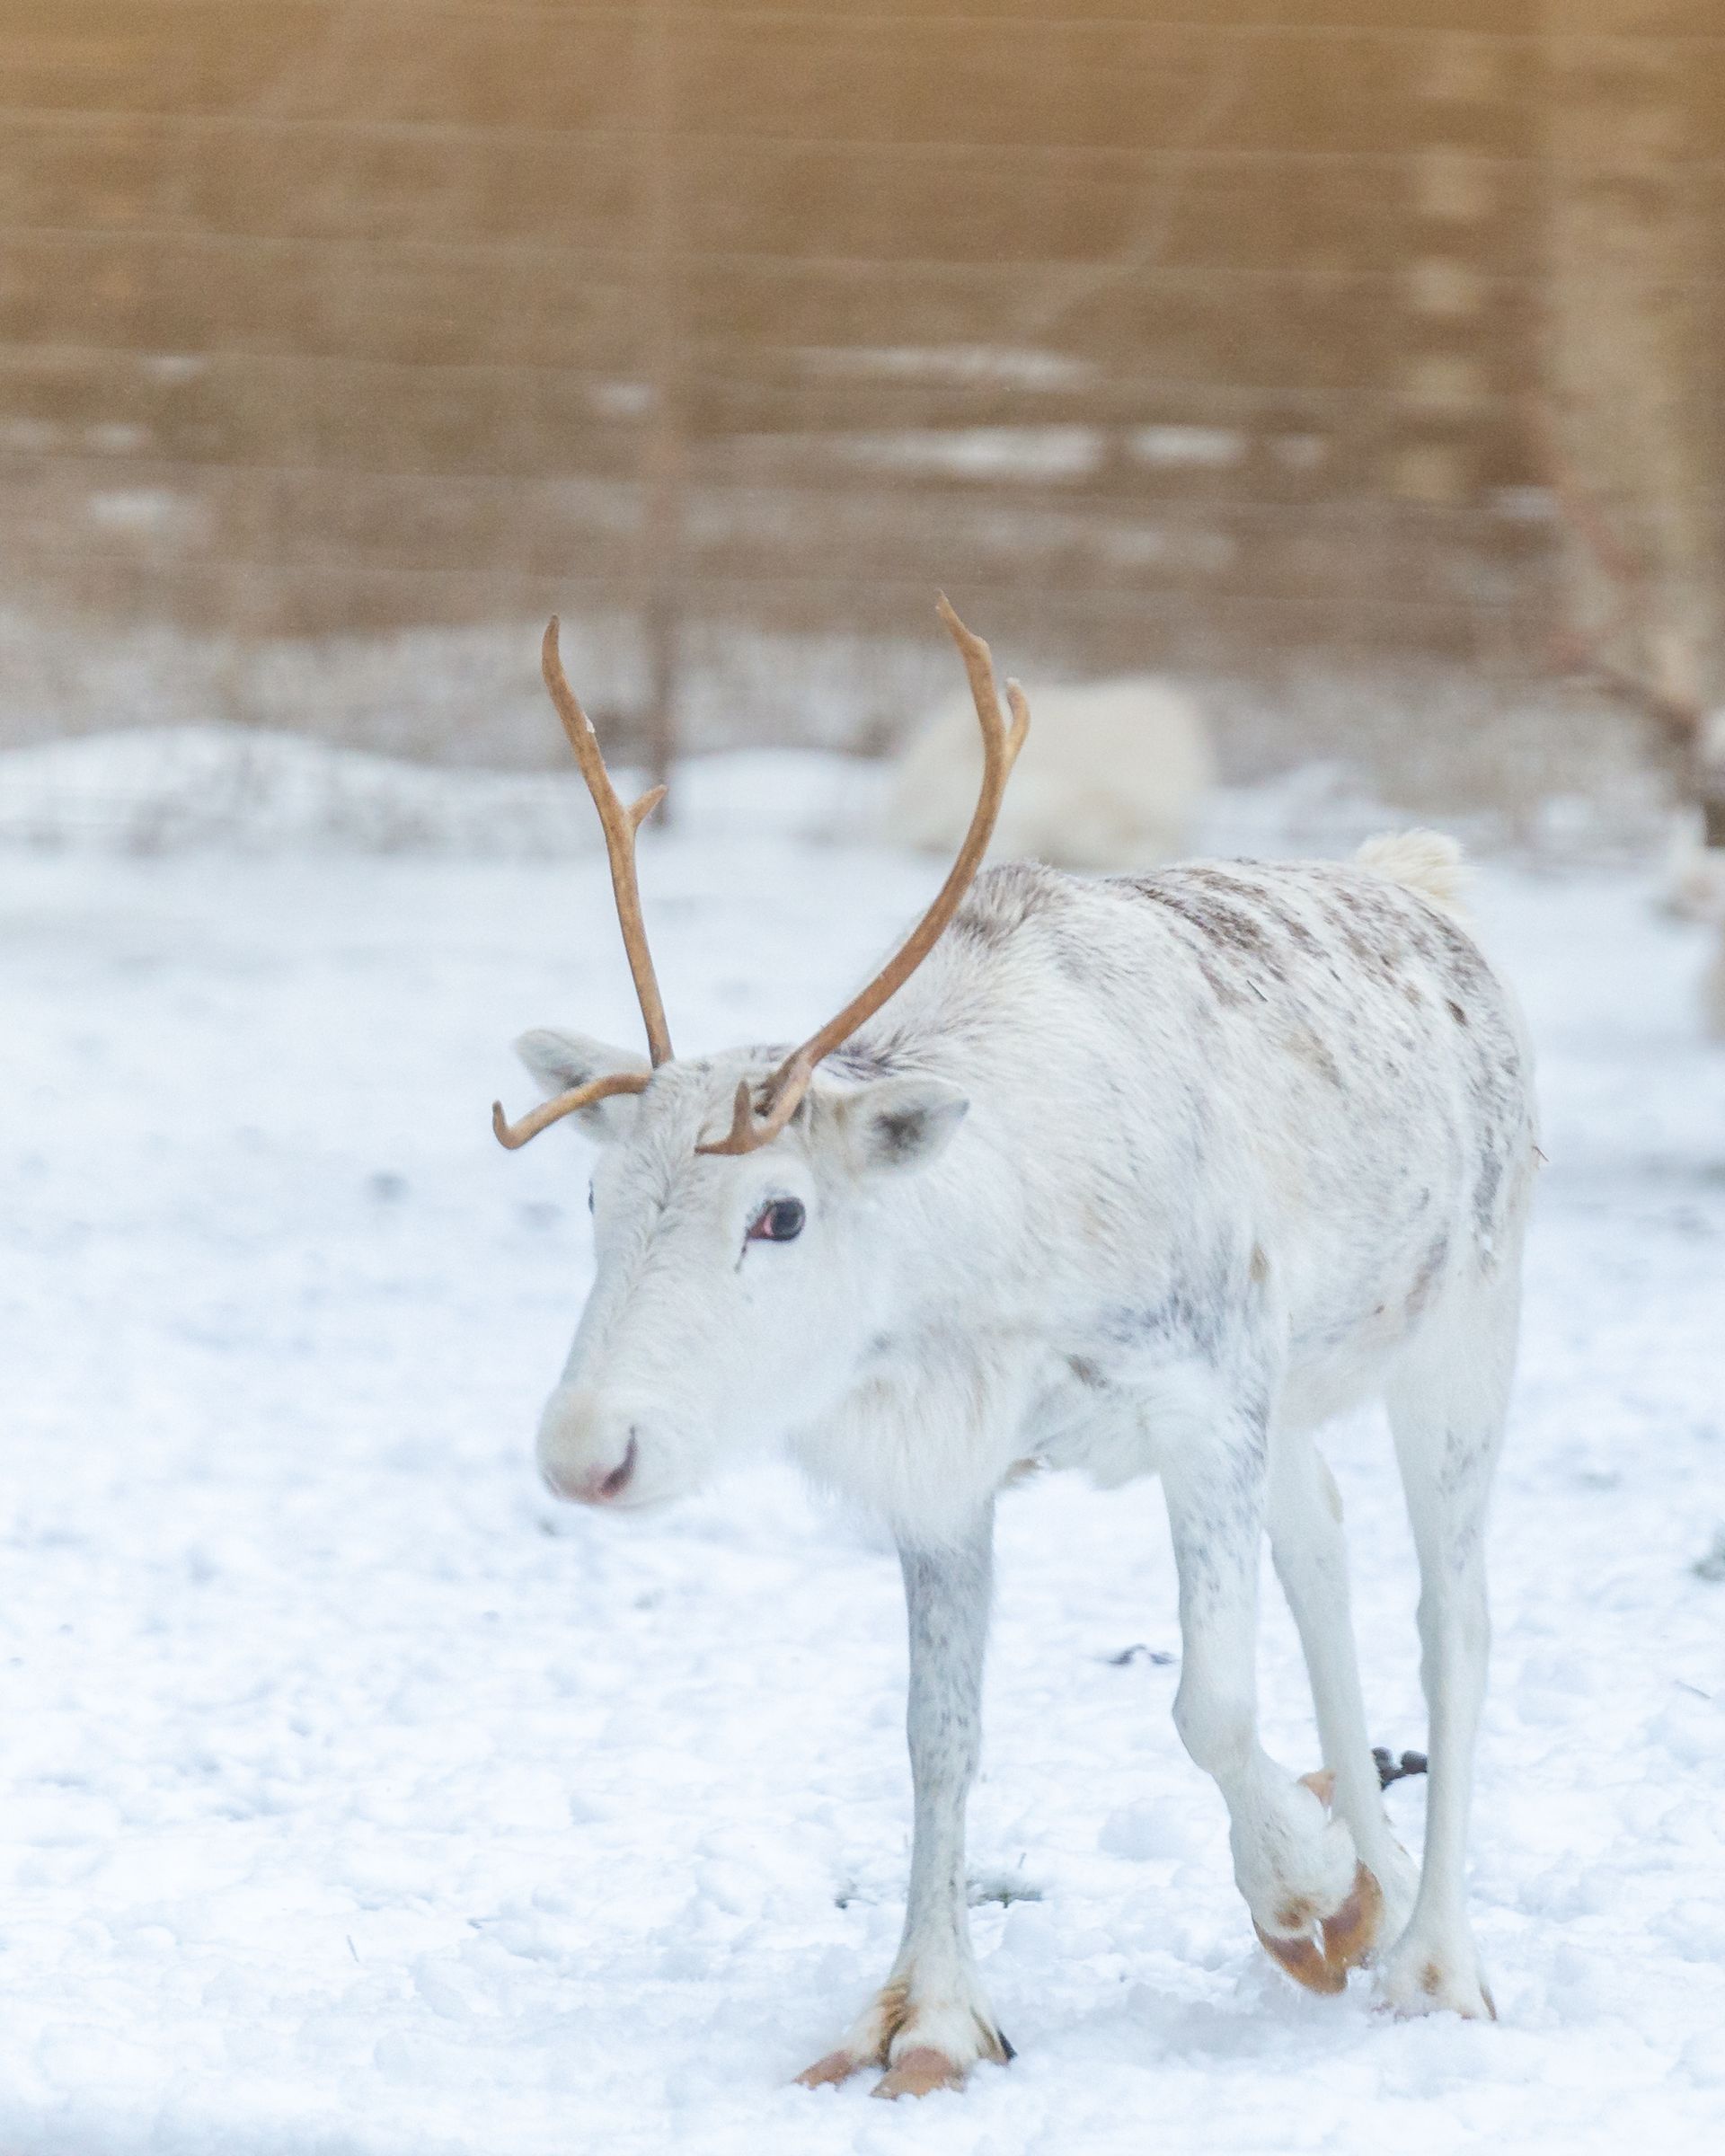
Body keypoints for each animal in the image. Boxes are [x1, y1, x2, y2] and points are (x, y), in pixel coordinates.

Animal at [494, 601, 1538, 2096]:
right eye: (592, 1196)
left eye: (780, 1212)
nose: (589, 1450)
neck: (994, 1265)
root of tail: (1425, 886)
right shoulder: (956, 1469)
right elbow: (939, 1739)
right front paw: (928, 2018)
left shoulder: (1204, 1395)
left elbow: (1211, 1704)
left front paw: (1308, 1900)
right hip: (1299, 1393)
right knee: (1325, 1558)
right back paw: (1384, 1874)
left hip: (1464, 1329)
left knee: (1455, 1619)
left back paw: (1437, 1961)